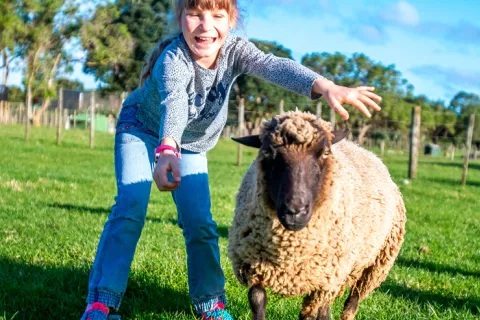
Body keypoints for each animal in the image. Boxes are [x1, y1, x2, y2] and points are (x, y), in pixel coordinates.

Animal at [229, 112, 404, 320]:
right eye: (268, 153)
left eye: (324, 153)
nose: (295, 211)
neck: (289, 251)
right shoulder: (253, 268)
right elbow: (258, 302)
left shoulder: (323, 281)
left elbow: (313, 314)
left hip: (373, 265)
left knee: (352, 301)